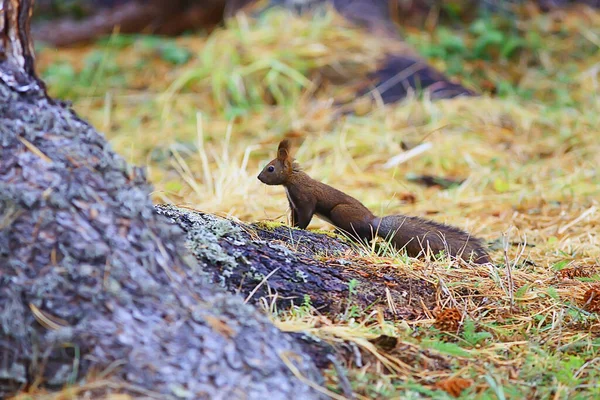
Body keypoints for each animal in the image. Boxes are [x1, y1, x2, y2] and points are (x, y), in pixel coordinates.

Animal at [255, 139, 490, 264]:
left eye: (270, 168)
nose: (258, 177)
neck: (292, 181)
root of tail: (373, 222)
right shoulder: (293, 204)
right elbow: (295, 217)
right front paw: (289, 225)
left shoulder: (305, 199)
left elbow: (305, 217)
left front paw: (299, 230)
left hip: (341, 212)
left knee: (363, 238)